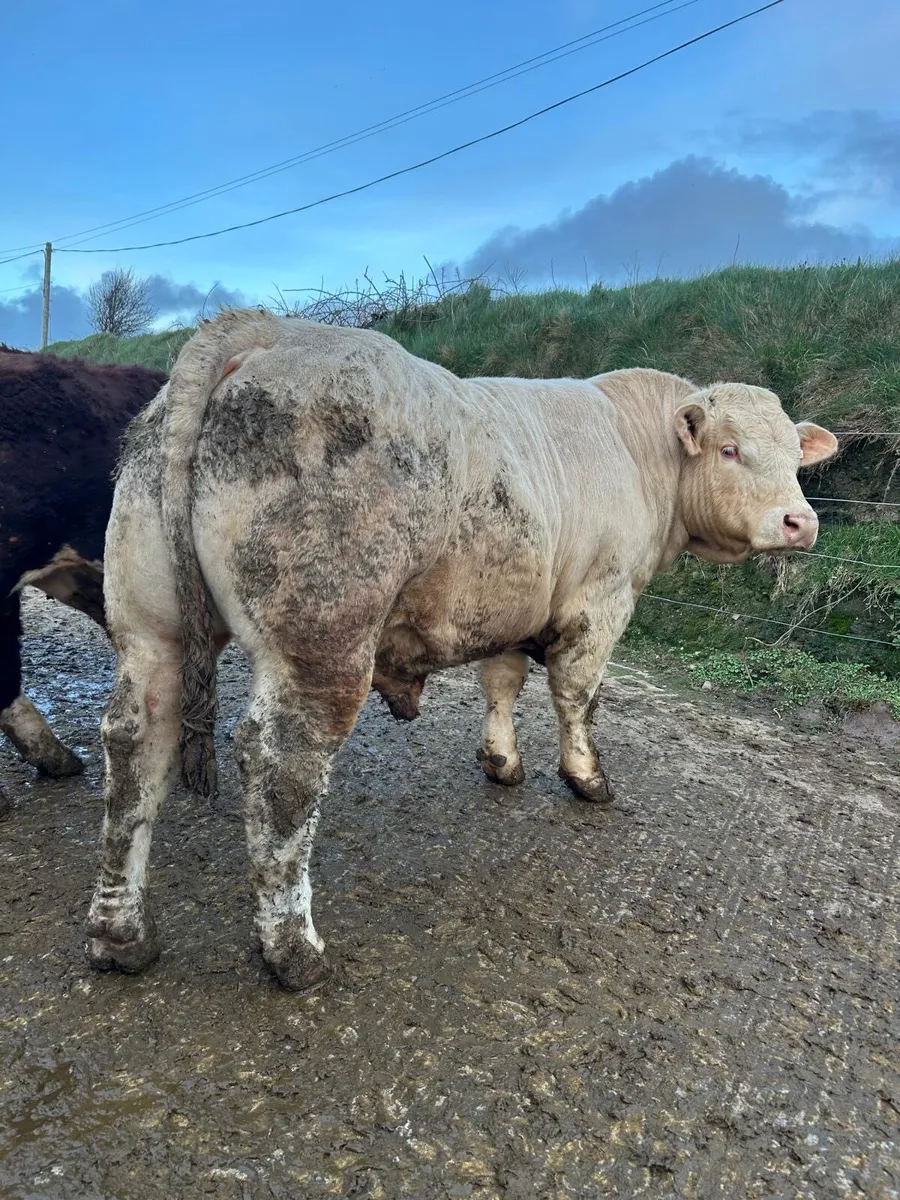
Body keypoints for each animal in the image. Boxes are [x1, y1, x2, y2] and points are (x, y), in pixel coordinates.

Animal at [85, 308, 837, 991]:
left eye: (794, 456)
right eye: (730, 448)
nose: (801, 522)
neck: (635, 447)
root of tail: (265, 329)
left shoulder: (508, 605)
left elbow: (501, 682)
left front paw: (502, 761)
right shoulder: (601, 600)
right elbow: (578, 695)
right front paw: (587, 777)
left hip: (151, 628)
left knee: (134, 746)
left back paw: (122, 934)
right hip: (323, 638)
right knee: (282, 766)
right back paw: (293, 950)